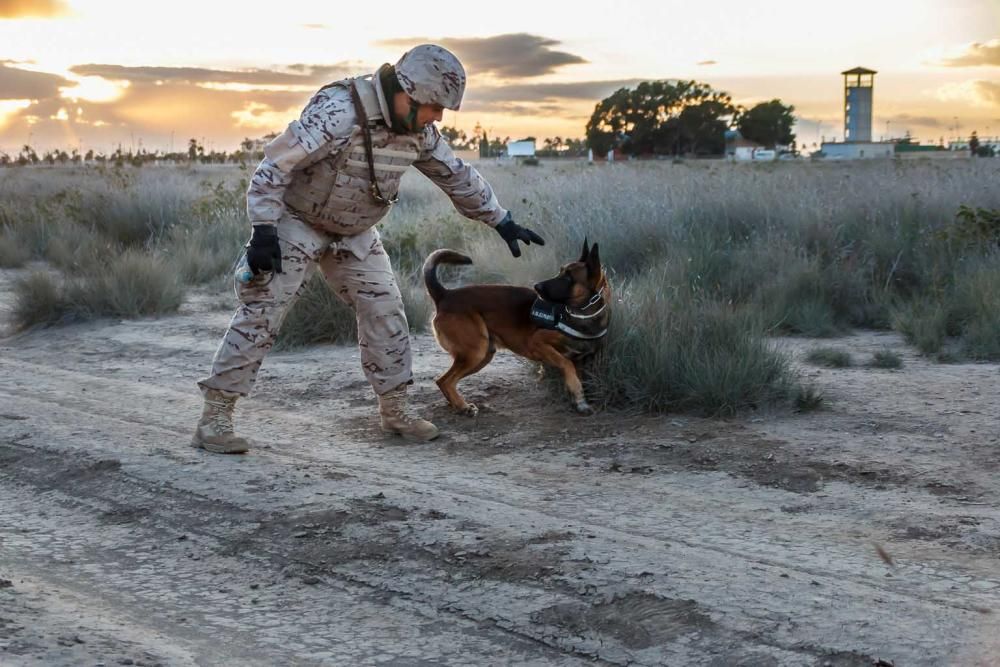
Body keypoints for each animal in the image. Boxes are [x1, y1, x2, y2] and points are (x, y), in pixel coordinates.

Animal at [422, 240, 608, 414]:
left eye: (568, 278)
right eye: (560, 272)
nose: (537, 286)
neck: (581, 315)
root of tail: (445, 294)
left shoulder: (580, 360)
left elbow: (576, 376)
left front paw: (577, 398)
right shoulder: (538, 343)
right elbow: (566, 364)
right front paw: (580, 400)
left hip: (482, 355)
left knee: (444, 381)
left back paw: (457, 405)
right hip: (475, 353)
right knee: (445, 381)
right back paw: (463, 406)